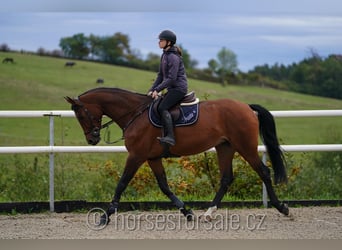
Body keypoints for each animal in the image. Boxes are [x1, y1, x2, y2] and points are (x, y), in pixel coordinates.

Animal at [65, 87, 290, 225]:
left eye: (81, 115)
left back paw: (282, 208)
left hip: (245, 147)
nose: (92, 139)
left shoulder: (136, 156)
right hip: (225, 147)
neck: (134, 113)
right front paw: (187, 211)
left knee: (264, 172)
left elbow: (121, 183)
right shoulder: (152, 158)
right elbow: (164, 186)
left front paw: (106, 215)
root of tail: (246, 107)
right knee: (226, 178)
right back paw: (208, 213)